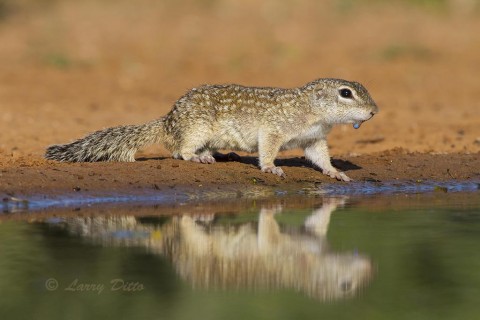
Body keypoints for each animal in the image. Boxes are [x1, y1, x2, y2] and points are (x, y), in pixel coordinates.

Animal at [45, 78, 378, 181]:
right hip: (197, 128)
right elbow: (267, 148)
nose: (374, 111)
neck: (310, 112)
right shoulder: (273, 129)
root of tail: (167, 121)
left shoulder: (314, 139)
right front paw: (271, 167)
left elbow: (319, 156)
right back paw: (197, 156)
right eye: (345, 93)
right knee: (180, 151)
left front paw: (335, 172)